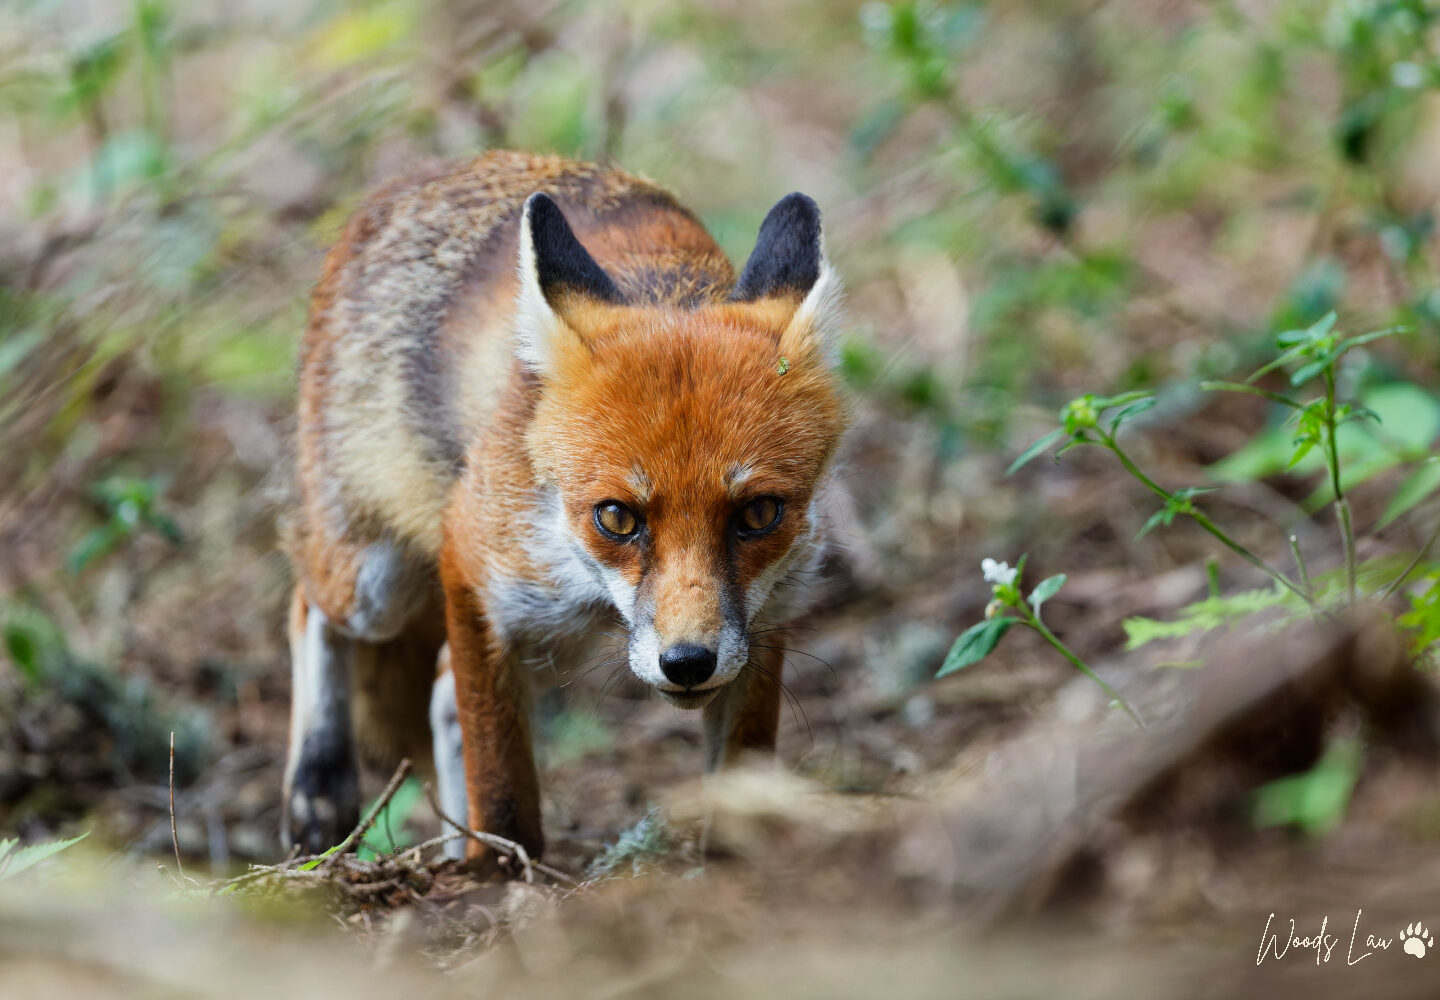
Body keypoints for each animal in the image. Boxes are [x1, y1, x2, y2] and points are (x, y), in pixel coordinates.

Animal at [280, 150, 849, 863]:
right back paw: (318, 782)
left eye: (757, 514)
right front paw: (498, 872)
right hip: (375, 586)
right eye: (617, 517)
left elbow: (741, 774)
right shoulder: (472, 564)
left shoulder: (767, 615)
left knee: (439, 691)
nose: (688, 663)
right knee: (306, 603)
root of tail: (414, 178)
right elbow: (500, 781)